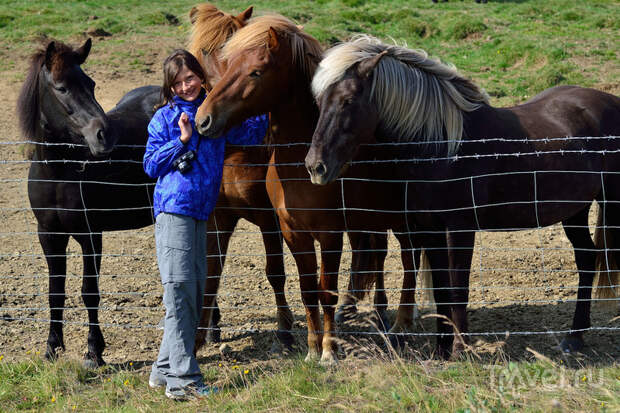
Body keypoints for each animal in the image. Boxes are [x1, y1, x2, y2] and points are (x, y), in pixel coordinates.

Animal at [16, 38, 161, 366]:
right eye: (61, 87)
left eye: (91, 84)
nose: (105, 135)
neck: (58, 172)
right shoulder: (49, 235)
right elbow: (55, 291)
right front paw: (52, 347)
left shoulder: (90, 235)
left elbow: (89, 291)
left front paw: (94, 351)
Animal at [306, 35, 620, 356]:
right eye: (319, 102)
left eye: (348, 101)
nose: (315, 167)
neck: (443, 146)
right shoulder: (430, 230)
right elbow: (442, 286)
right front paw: (441, 348)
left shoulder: (460, 229)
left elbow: (458, 285)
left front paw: (459, 347)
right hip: (575, 211)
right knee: (586, 258)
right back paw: (575, 337)